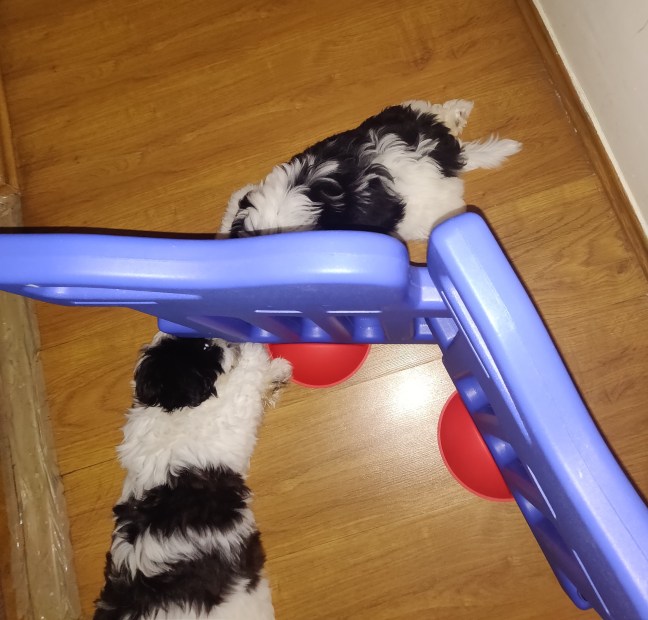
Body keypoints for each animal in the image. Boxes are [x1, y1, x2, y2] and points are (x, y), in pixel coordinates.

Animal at [94, 334, 292, 620]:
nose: (225, 340)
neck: (170, 408)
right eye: (206, 347)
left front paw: (274, 374)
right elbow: (244, 380)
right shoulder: (228, 412)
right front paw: (260, 354)